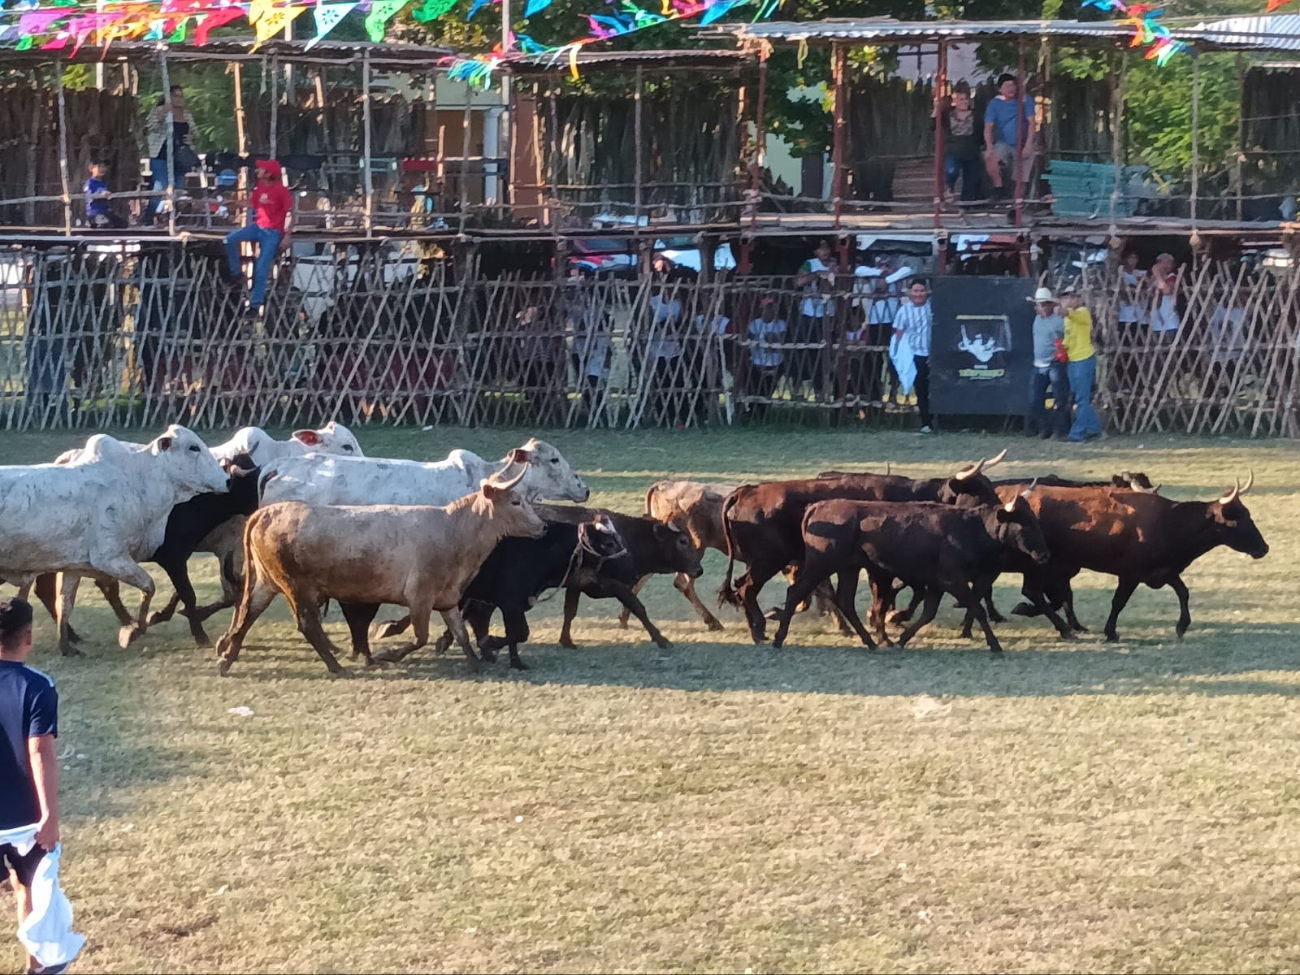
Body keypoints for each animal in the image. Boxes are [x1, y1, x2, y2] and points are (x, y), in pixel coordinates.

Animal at [0, 426, 228, 657]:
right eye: (193, 447)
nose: (227, 480)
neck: (138, 481)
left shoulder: (74, 566)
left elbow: (64, 604)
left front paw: (66, 647)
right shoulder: (110, 558)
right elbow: (149, 586)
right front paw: (133, 631)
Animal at [29, 457, 258, 650]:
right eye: (254, 484)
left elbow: (188, 593)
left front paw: (161, 616)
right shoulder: (174, 559)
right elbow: (189, 594)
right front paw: (199, 635)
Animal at [215, 470, 540, 676]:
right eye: (515, 502)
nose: (542, 526)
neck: (454, 530)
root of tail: (266, 512)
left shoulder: (447, 597)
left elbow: (460, 632)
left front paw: (476, 663)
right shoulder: (420, 596)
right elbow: (420, 636)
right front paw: (386, 652)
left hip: (267, 582)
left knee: (247, 613)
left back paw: (227, 659)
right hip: (296, 586)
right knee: (306, 624)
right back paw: (336, 666)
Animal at [769, 499, 1045, 652]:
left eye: (1035, 519)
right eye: (1025, 522)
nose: (1045, 553)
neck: (969, 528)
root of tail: (817, 506)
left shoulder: (938, 584)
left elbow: (928, 613)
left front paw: (901, 638)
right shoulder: (952, 580)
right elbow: (976, 609)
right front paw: (995, 644)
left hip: (849, 567)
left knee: (845, 600)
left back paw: (871, 642)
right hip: (821, 564)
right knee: (796, 592)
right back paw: (778, 639)